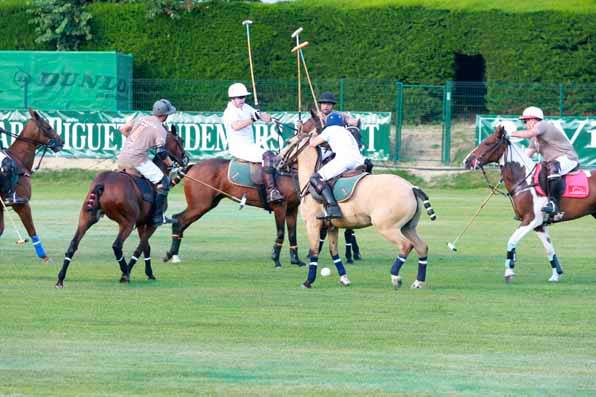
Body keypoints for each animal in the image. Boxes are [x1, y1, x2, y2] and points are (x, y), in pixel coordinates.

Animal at [0, 108, 63, 260]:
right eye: (48, 127)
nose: (62, 141)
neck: (20, 161)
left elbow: (1, 229)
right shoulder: (21, 204)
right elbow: (32, 229)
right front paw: (44, 257)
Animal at [55, 125, 187, 286]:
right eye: (180, 141)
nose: (185, 159)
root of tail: (102, 183)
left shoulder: (142, 223)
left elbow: (146, 248)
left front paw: (149, 274)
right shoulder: (152, 223)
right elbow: (140, 248)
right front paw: (133, 272)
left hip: (86, 217)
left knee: (73, 245)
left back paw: (60, 278)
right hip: (126, 222)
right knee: (117, 245)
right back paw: (125, 273)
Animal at [284, 114, 438, 288]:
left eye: (288, 143)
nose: (279, 161)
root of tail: (411, 188)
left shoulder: (312, 223)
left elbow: (315, 251)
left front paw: (308, 281)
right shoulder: (332, 226)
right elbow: (333, 251)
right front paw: (344, 278)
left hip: (386, 226)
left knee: (406, 245)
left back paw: (395, 277)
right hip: (408, 227)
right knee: (422, 247)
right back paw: (418, 281)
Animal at [464, 125, 596, 284]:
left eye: (488, 143)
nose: (466, 162)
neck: (524, 180)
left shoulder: (531, 219)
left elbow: (511, 241)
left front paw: (509, 272)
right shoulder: (539, 225)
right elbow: (549, 249)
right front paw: (555, 275)